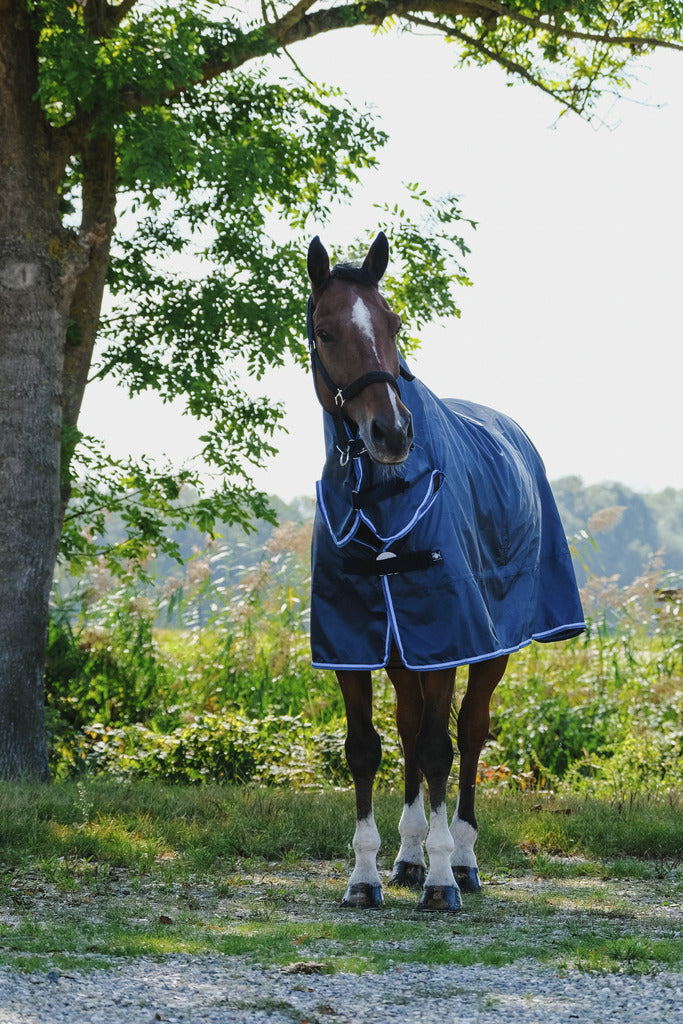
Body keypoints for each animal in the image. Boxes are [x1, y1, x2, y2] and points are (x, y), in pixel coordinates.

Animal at [307, 234, 585, 913]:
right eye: (325, 331)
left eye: (392, 323)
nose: (391, 431)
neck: (381, 497)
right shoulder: (353, 645)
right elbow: (366, 749)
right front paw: (366, 877)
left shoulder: (446, 639)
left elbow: (441, 747)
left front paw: (440, 881)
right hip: (404, 653)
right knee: (409, 732)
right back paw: (408, 856)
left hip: (485, 649)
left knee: (468, 733)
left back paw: (460, 859)